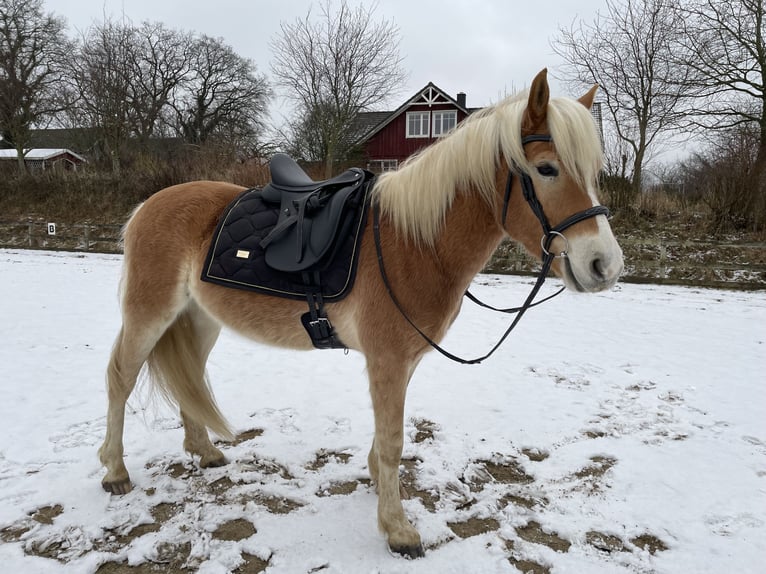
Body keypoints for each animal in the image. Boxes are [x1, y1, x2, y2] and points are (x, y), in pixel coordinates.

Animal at [97, 67, 624, 560]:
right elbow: (393, 441)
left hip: (200, 318)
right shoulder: (387, 358)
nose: (605, 265)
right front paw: (398, 529)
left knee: (190, 375)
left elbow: (385, 438)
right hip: (150, 312)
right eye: (546, 169)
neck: (414, 242)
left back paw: (204, 451)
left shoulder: (401, 359)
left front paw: (380, 492)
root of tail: (147, 205)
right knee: (121, 376)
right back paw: (116, 471)